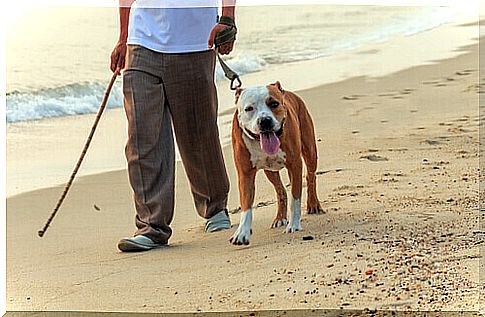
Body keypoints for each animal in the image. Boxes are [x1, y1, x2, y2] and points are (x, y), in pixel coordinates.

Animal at [230, 81, 322, 244]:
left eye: (274, 104)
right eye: (249, 109)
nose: (264, 121)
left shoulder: (294, 165)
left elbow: (295, 198)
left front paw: (294, 225)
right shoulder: (245, 174)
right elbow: (246, 205)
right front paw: (242, 232)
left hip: (310, 151)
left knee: (311, 176)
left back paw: (313, 204)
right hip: (270, 171)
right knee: (280, 190)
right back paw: (280, 218)